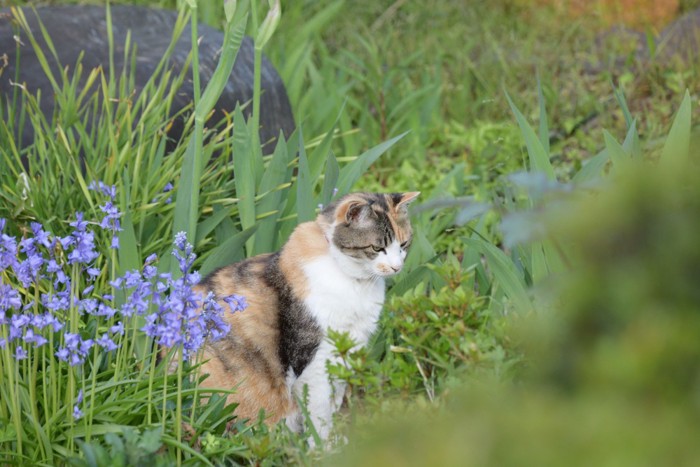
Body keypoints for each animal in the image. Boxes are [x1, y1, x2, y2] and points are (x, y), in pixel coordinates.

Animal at [194, 192, 418, 440]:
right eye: (377, 248)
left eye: (404, 244)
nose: (397, 267)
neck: (351, 280)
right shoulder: (315, 360)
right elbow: (319, 411)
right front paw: (324, 445)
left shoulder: (345, 352)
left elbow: (332, 403)